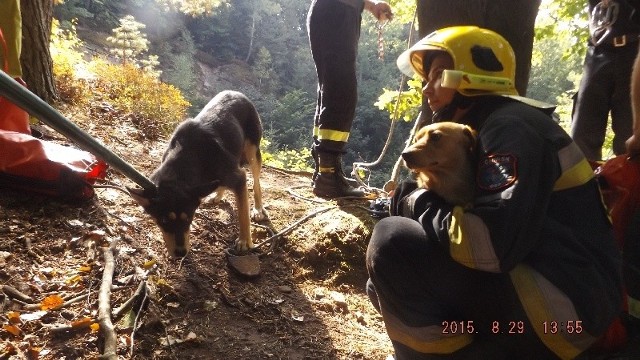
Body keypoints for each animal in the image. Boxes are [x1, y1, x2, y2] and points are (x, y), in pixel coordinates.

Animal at [127, 91, 268, 258]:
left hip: (252, 151)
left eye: (188, 218)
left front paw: (245, 241)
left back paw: (258, 209)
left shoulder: (239, 178)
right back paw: (217, 195)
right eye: (163, 220)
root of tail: (237, 93)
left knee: (256, 182)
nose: (180, 253)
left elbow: (243, 214)